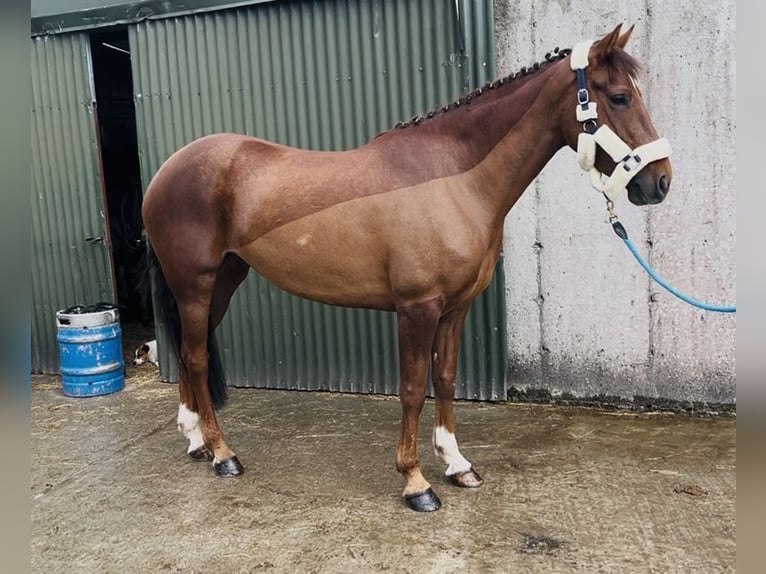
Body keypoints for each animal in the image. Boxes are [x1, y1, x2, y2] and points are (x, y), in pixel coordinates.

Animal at [142, 24, 672, 512]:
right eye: (620, 97)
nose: (661, 182)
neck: (454, 177)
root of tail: (167, 169)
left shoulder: (454, 309)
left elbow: (446, 380)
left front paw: (458, 465)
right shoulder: (418, 308)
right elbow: (414, 388)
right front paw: (416, 482)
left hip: (223, 281)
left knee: (189, 353)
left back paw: (196, 441)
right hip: (195, 285)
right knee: (196, 357)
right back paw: (222, 454)